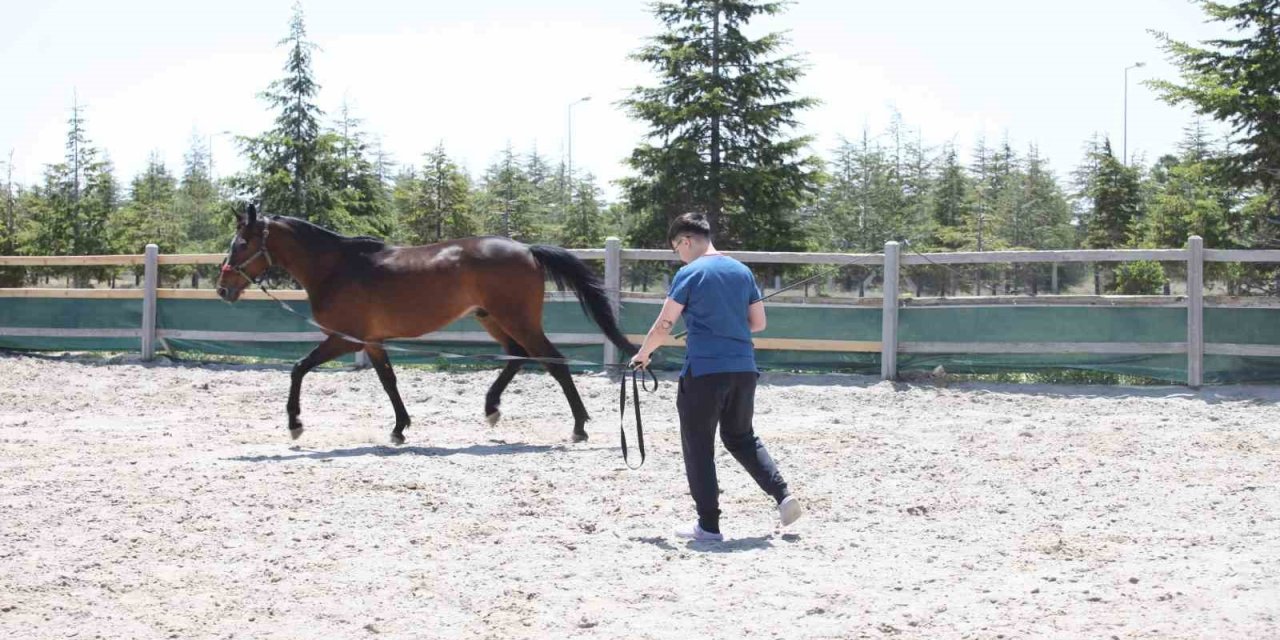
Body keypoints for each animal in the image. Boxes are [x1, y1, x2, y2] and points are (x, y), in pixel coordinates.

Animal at [221, 204, 645, 445]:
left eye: (241, 244)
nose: (224, 288)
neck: (336, 267)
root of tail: (527, 249)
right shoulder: (372, 341)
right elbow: (388, 381)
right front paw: (399, 428)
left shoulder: (346, 339)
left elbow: (298, 368)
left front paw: (295, 423)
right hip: (492, 318)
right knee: (517, 356)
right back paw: (492, 408)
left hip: (517, 319)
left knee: (552, 360)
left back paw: (579, 426)